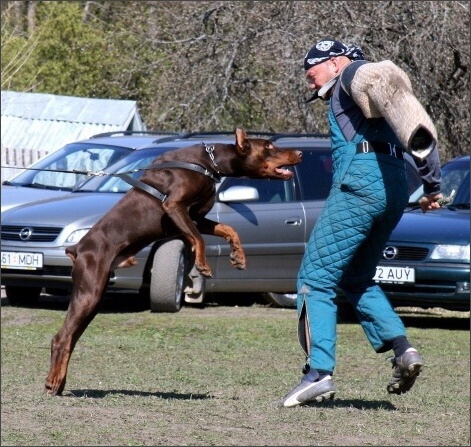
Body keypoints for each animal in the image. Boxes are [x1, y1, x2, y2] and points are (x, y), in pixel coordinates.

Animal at [44, 127, 302, 396]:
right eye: (268, 147)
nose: (300, 153)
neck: (209, 163)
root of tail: (77, 248)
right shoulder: (174, 206)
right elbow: (198, 238)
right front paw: (202, 264)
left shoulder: (196, 216)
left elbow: (228, 229)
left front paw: (238, 256)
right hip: (89, 290)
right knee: (61, 338)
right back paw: (53, 381)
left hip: (94, 298)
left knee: (71, 338)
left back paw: (59, 381)